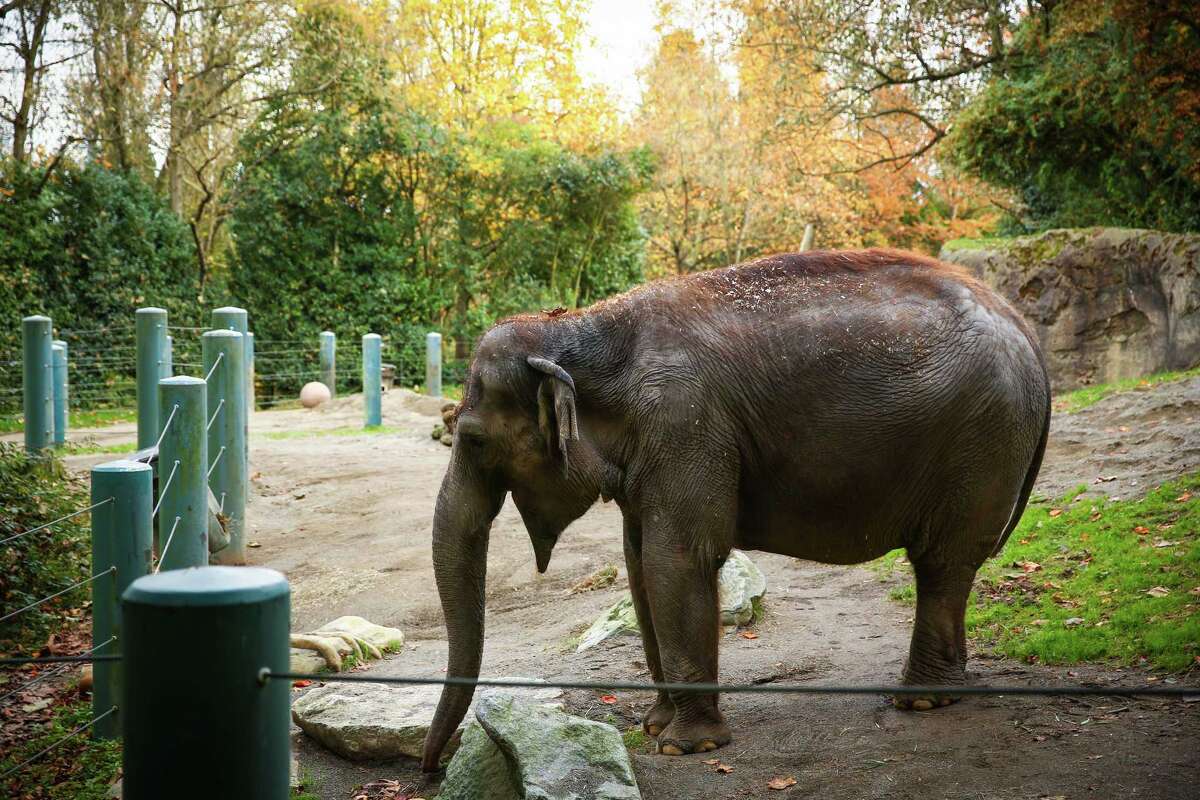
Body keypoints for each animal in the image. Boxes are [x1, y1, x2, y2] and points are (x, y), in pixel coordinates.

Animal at [420, 248, 1051, 770]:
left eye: (473, 439)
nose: (432, 765)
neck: (582, 329)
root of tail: (1024, 327)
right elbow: (639, 565)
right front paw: (656, 727)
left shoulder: (687, 426)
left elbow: (676, 560)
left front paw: (686, 747)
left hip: (980, 443)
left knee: (941, 563)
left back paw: (919, 701)